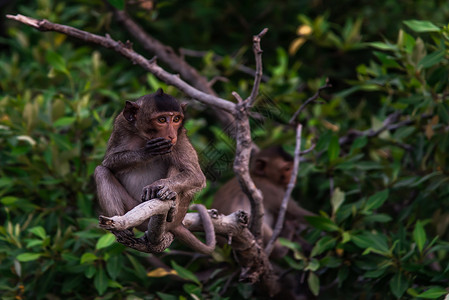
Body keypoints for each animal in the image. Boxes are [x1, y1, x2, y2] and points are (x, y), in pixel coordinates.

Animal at [94, 88, 215, 254]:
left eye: (176, 119)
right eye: (162, 120)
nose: (171, 135)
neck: (144, 136)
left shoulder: (180, 137)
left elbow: (196, 175)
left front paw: (161, 186)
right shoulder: (121, 125)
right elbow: (108, 163)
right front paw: (147, 151)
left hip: (173, 218)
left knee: (176, 165)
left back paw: (170, 198)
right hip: (132, 208)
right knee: (101, 171)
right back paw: (121, 228)